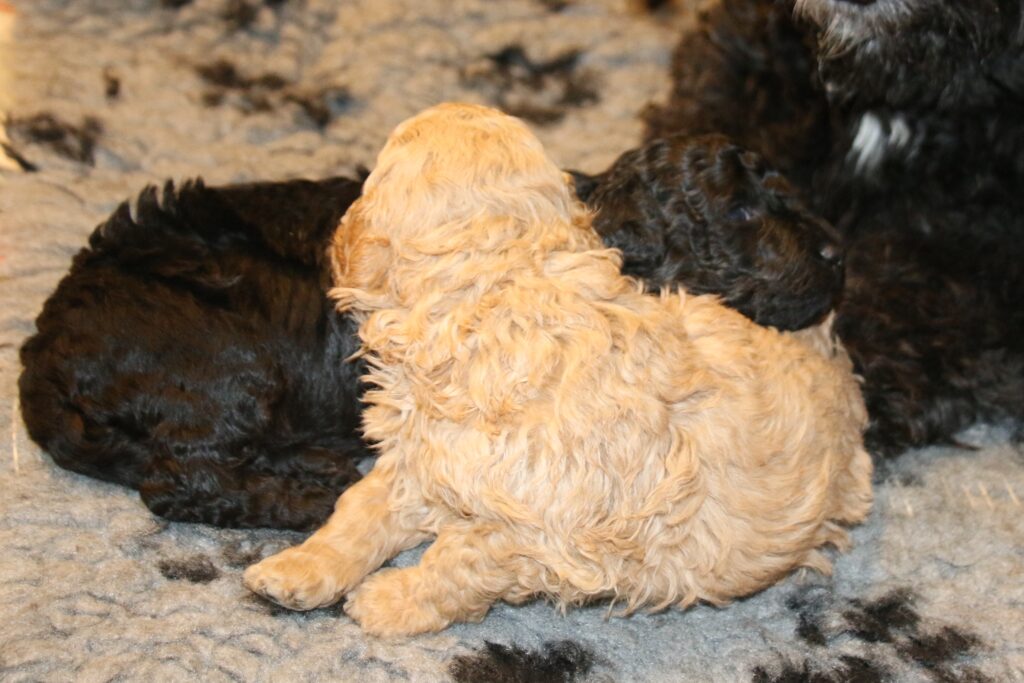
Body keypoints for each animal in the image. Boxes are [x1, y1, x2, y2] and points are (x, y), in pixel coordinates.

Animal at [19, 133, 844, 530]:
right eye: (742, 213)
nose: (841, 250)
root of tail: (41, 356)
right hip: (224, 359)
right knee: (182, 480)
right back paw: (308, 499)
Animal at [242, 102, 872, 637]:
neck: (500, 283)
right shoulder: (426, 457)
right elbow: (361, 508)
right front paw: (299, 568)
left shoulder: (533, 529)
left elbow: (459, 560)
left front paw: (392, 600)